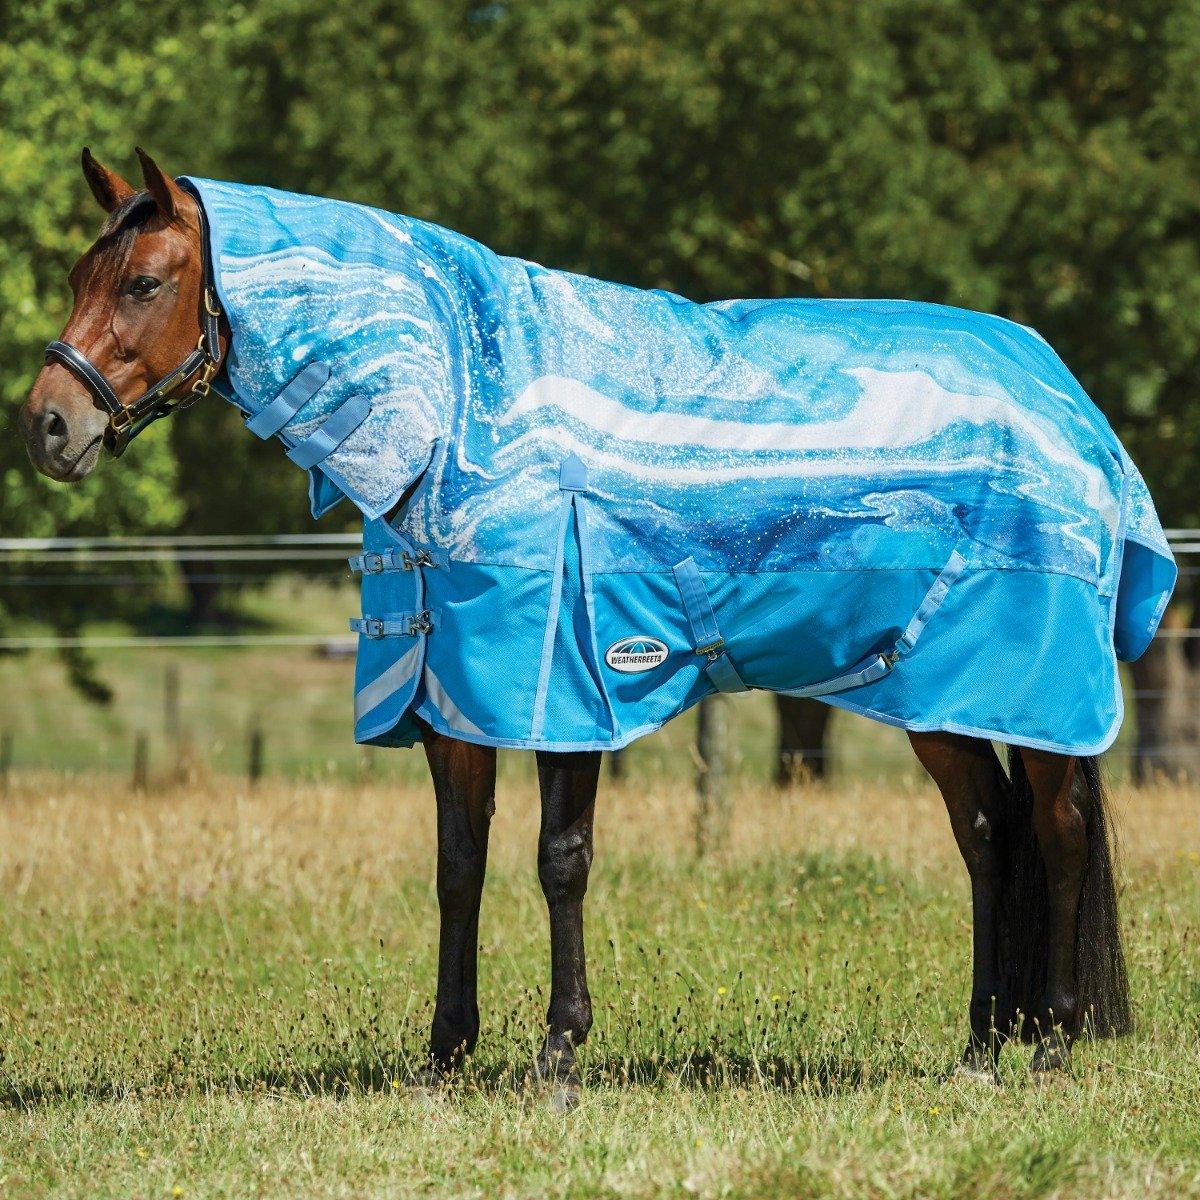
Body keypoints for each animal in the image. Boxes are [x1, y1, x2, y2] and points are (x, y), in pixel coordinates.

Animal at [20, 148, 1137, 1104]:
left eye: (143, 284)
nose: (46, 426)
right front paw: (445, 1056)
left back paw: (1051, 1043)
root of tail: (1069, 405)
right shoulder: (456, 701)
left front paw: (559, 1052)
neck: (461, 406)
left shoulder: (571, 687)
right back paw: (983, 1047)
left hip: (1027, 695)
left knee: (1057, 832)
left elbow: (561, 861)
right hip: (937, 696)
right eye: (81, 272)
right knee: (987, 839)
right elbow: (458, 868)